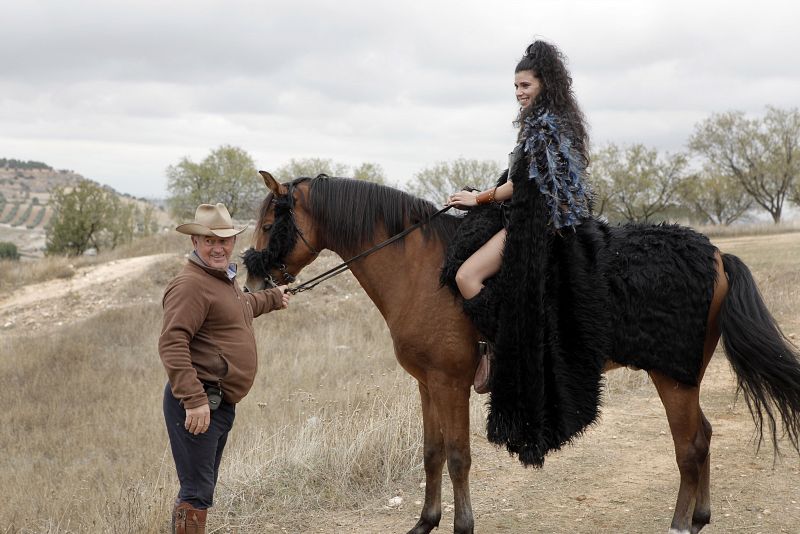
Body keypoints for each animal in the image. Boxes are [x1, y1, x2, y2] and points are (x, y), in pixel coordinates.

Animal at [244, 173, 800, 534]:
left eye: (272, 224)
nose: (252, 284)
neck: (422, 270)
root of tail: (717, 255)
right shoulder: (427, 383)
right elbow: (431, 453)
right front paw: (424, 523)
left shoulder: (450, 383)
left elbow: (458, 457)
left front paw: (462, 527)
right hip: (684, 377)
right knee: (703, 437)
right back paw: (700, 519)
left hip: (672, 376)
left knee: (690, 446)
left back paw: (681, 525)